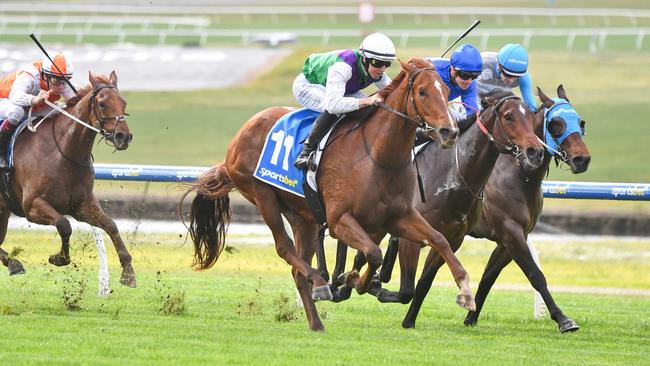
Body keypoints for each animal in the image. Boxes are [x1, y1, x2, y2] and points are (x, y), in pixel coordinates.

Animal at [0, 71, 135, 288]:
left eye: (123, 102)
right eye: (102, 103)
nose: (124, 136)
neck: (63, 153)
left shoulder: (81, 205)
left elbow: (111, 225)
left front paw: (128, 271)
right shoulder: (31, 206)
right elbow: (64, 225)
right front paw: (59, 258)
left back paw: (13, 263)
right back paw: (14, 263)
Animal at [182, 58, 476, 332]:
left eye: (446, 92)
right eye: (423, 92)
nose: (450, 131)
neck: (378, 156)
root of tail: (239, 137)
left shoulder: (399, 216)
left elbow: (438, 240)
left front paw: (465, 291)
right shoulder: (339, 220)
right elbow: (373, 253)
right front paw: (353, 280)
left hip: (303, 215)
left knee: (297, 267)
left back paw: (316, 321)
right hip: (263, 195)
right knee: (284, 248)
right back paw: (320, 282)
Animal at [464, 85, 588, 332]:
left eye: (580, 122)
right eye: (556, 123)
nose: (582, 159)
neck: (519, 177)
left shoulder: (508, 240)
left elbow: (488, 277)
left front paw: (471, 317)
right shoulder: (511, 233)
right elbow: (536, 275)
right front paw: (563, 319)